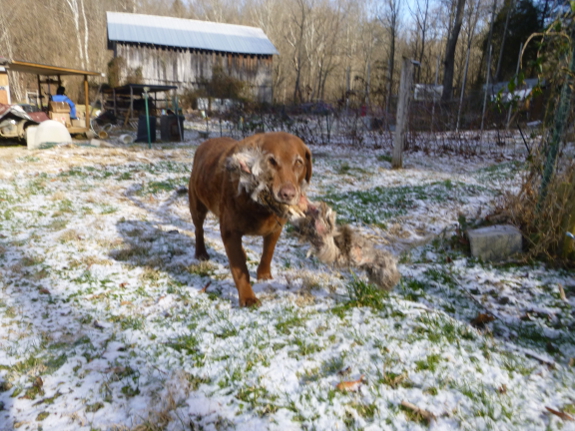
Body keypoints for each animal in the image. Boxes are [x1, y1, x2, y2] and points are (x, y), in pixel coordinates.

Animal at [190, 132, 312, 308]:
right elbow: (239, 268)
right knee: (199, 229)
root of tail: (205, 143)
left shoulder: (276, 228)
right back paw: (201, 252)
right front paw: (248, 297)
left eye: (298, 162)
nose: (287, 194)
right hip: (197, 204)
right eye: (271, 161)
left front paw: (264, 274)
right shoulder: (230, 232)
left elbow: (268, 253)